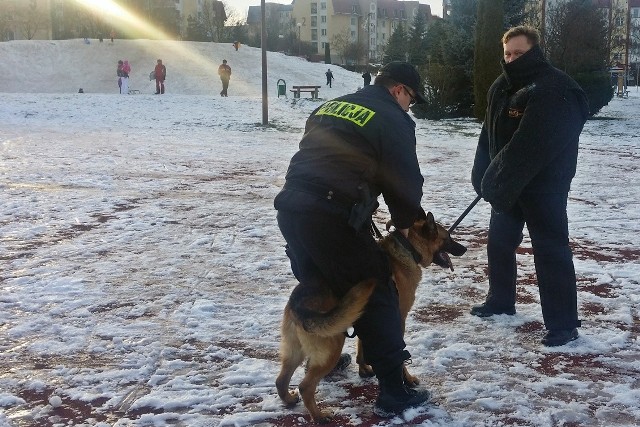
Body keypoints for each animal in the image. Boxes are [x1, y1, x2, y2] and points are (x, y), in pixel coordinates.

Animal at [276, 212, 464, 422]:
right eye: (447, 238)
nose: (464, 249)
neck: (408, 247)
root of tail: (298, 303)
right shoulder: (397, 319)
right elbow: (398, 355)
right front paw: (406, 379)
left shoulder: (370, 318)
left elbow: (362, 345)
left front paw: (364, 369)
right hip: (332, 346)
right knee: (305, 386)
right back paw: (319, 416)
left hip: (295, 350)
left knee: (281, 380)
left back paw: (289, 400)